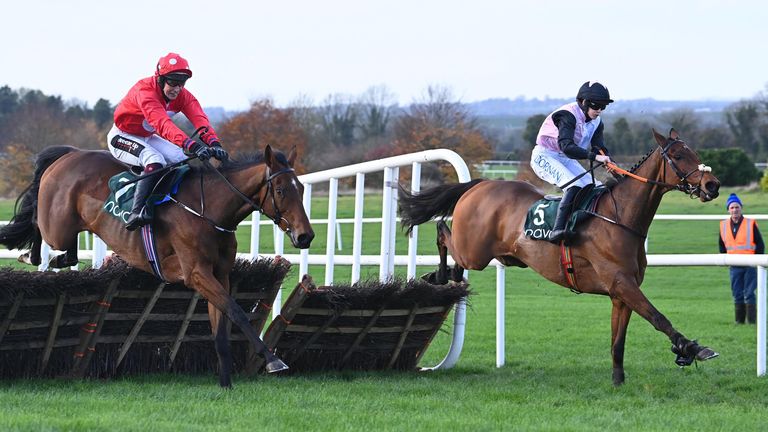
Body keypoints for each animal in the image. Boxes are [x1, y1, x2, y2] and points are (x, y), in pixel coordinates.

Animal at [0, 143, 316, 386]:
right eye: (280, 190)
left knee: (68, 251)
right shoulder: (196, 273)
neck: (209, 210)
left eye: (301, 188)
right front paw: (273, 360)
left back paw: (54, 257)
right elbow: (237, 312)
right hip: (57, 225)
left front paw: (225, 384)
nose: (306, 236)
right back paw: (32, 256)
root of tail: (69, 154)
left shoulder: (220, 275)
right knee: (36, 222)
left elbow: (222, 326)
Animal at [400, 128, 724, 384]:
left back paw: (443, 275)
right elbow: (658, 317)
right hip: (474, 251)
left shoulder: (620, 294)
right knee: (442, 232)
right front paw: (691, 349)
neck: (619, 218)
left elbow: (617, 341)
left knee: (454, 254)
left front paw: (618, 380)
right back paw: (440, 274)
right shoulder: (622, 283)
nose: (713, 185)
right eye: (679, 155)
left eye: (694, 152)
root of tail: (480, 184)